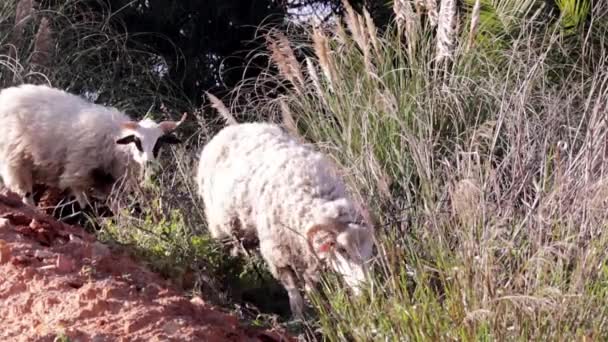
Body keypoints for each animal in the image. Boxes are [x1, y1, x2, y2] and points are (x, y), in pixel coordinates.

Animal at [0, 83, 188, 207]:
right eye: (137, 141)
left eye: (160, 142)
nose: (149, 163)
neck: (115, 145)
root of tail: (7, 94)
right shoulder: (77, 173)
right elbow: (86, 207)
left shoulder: (109, 183)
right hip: (16, 159)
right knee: (26, 193)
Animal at [197, 123, 372, 318]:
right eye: (342, 250)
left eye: (369, 250)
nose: (367, 290)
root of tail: (232, 128)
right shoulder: (276, 251)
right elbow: (292, 288)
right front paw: (298, 316)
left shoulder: (305, 251)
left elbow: (310, 285)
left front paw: (316, 307)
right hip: (223, 228)